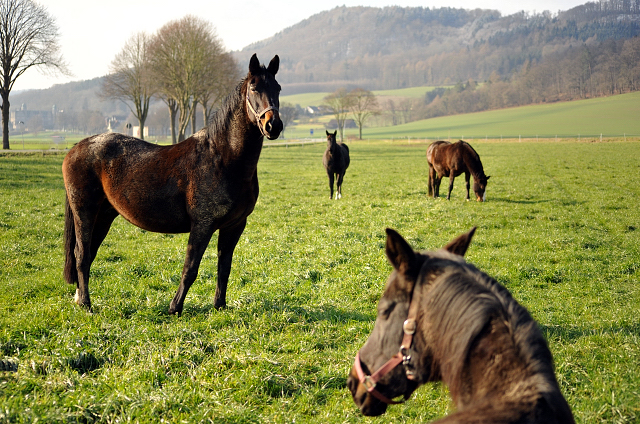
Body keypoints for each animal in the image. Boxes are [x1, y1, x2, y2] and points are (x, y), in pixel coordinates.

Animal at [63, 53, 282, 314]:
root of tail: (76, 148)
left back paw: (79, 298)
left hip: (104, 215)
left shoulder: (234, 225)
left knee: (89, 253)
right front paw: (175, 307)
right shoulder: (202, 225)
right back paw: (86, 303)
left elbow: (224, 268)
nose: (273, 125)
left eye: (278, 88)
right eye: (254, 88)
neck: (223, 158)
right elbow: (190, 269)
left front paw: (219, 306)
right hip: (84, 212)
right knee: (81, 254)